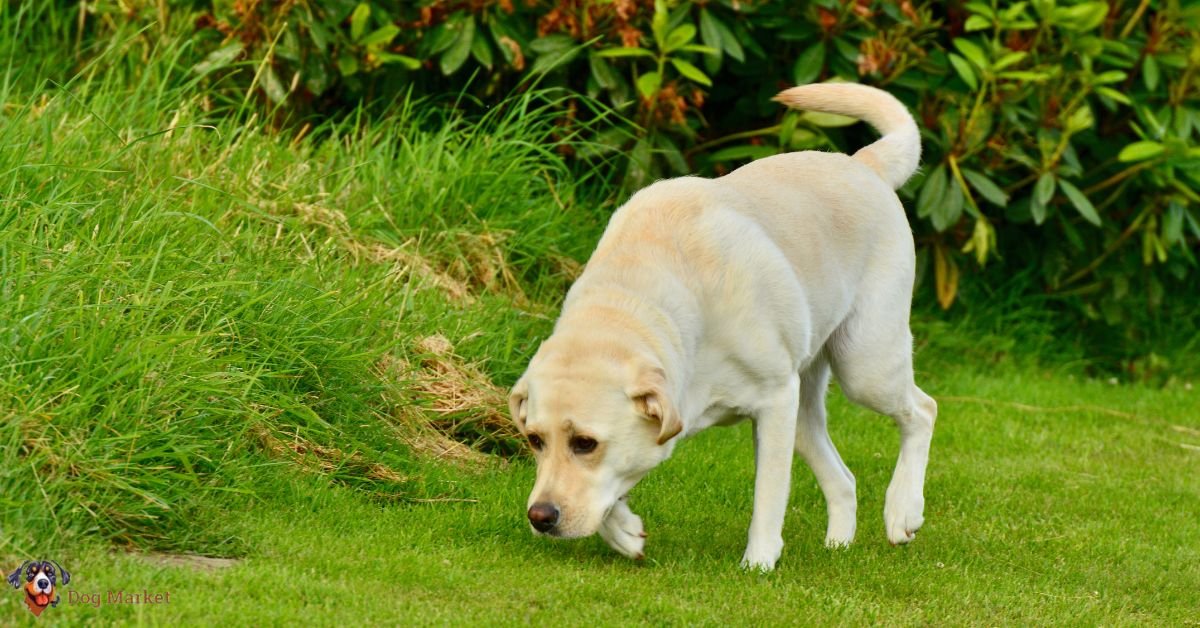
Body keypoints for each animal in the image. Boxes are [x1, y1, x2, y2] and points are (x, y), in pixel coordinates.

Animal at [506, 82, 936, 569]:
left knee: (922, 411)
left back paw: (903, 510)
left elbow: (769, 494)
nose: (540, 516)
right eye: (534, 440)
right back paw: (839, 546)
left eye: (585, 443)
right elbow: (616, 485)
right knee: (844, 479)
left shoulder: (774, 401)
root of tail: (864, 163)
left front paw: (759, 563)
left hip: (864, 366)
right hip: (806, 409)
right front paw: (625, 533)